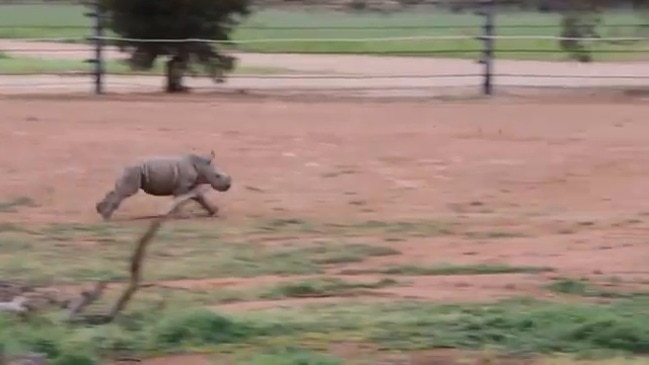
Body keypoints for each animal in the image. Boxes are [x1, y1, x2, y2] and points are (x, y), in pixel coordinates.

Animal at [93, 150, 230, 220]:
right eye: (217, 176)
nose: (228, 185)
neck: (201, 166)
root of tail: (124, 167)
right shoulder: (182, 186)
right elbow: (179, 199)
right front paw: (183, 216)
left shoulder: (191, 185)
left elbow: (200, 197)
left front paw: (214, 212)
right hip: (134, 171)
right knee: (126, 192)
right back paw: (106, 217)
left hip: (133, 171)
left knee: (120, 190)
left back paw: (101, 212)